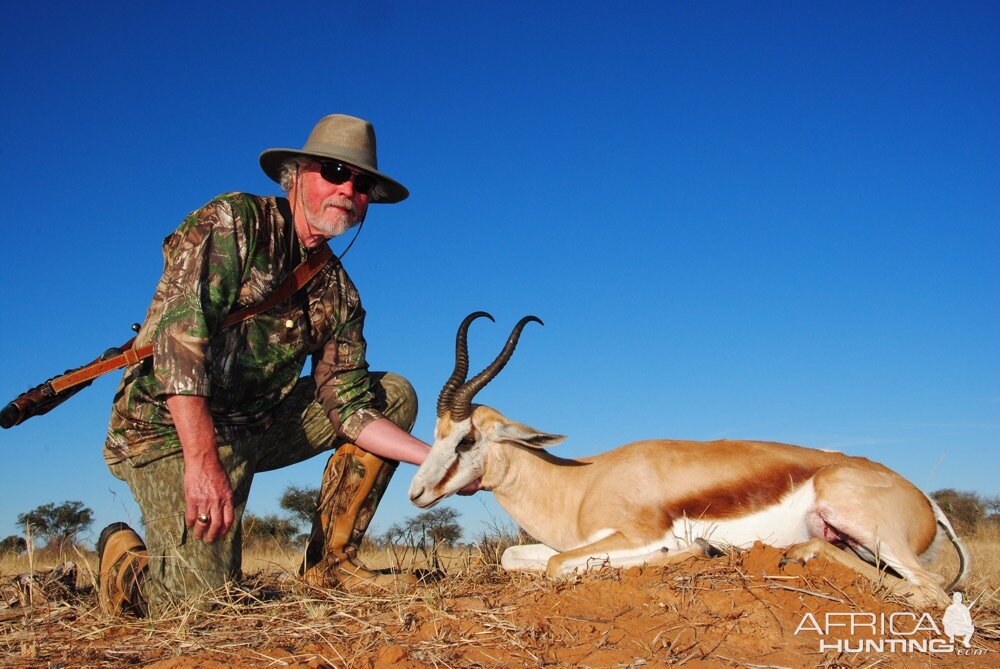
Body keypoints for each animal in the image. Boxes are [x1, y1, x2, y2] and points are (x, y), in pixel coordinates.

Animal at [408, 310, 968, 608]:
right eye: (434, 435)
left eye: (465, 440)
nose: (416, 493)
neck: (580, 483)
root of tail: (924, 500)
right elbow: (518, 558)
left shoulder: (635, 534)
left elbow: (558, 565)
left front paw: (701, 549)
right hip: (851, 540)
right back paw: (797, 554)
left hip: (861, 520)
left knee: (934, 592)